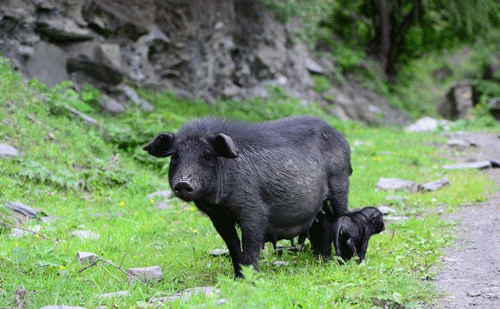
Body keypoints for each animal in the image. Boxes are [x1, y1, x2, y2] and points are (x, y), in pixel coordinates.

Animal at [143, 115, 350, 276]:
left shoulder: (253, 209)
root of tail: (340, 135)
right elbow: (232, 245)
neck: (219, 202)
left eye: (206, 156)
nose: (183, 183)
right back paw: (322, 260)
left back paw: (342, 261)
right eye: (175, 156)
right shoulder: (218, 218)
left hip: (340, 182)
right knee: (324, 223)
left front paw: (251, 279)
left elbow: (250, 244)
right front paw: (237, 277)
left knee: (341, 215)